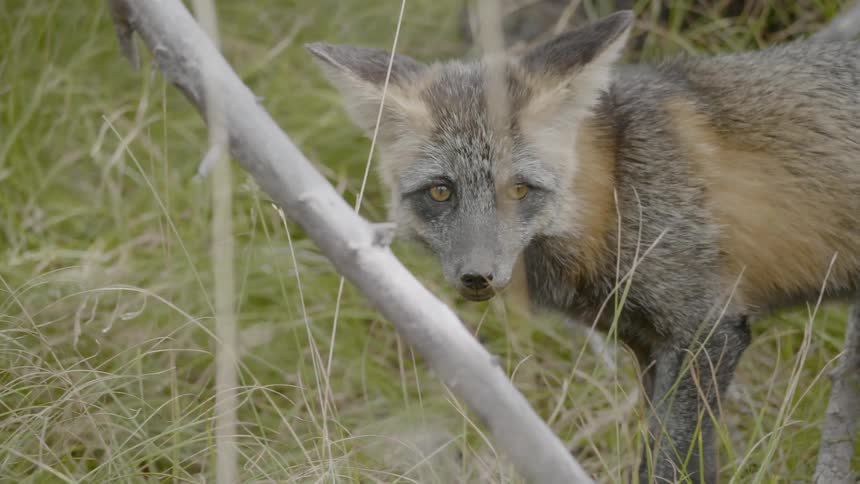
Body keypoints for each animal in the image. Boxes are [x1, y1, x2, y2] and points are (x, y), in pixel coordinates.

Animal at [306, 10, 860, 483]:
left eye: (519, 190)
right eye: (441, 192)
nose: (477, 277)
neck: (613, 191)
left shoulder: (707, 330)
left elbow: (674, 463)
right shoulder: (649, 347)